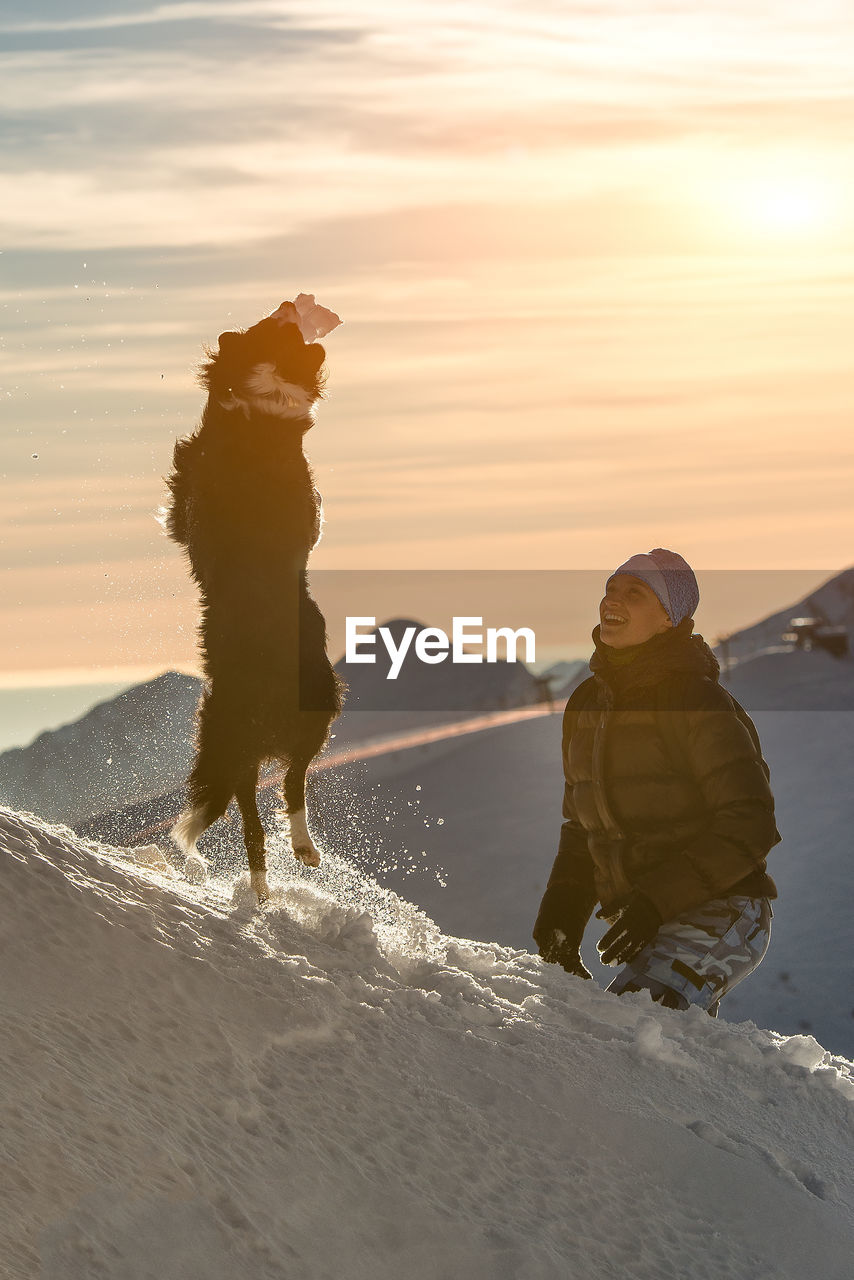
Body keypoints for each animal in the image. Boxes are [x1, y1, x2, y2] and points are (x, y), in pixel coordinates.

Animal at [163, 298, 343, 901]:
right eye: (273, 324)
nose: (291, 303)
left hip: (268, 722)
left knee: (267, 801)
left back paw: (276, 874)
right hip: (305, 716)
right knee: (281, 790)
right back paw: (289, 864)